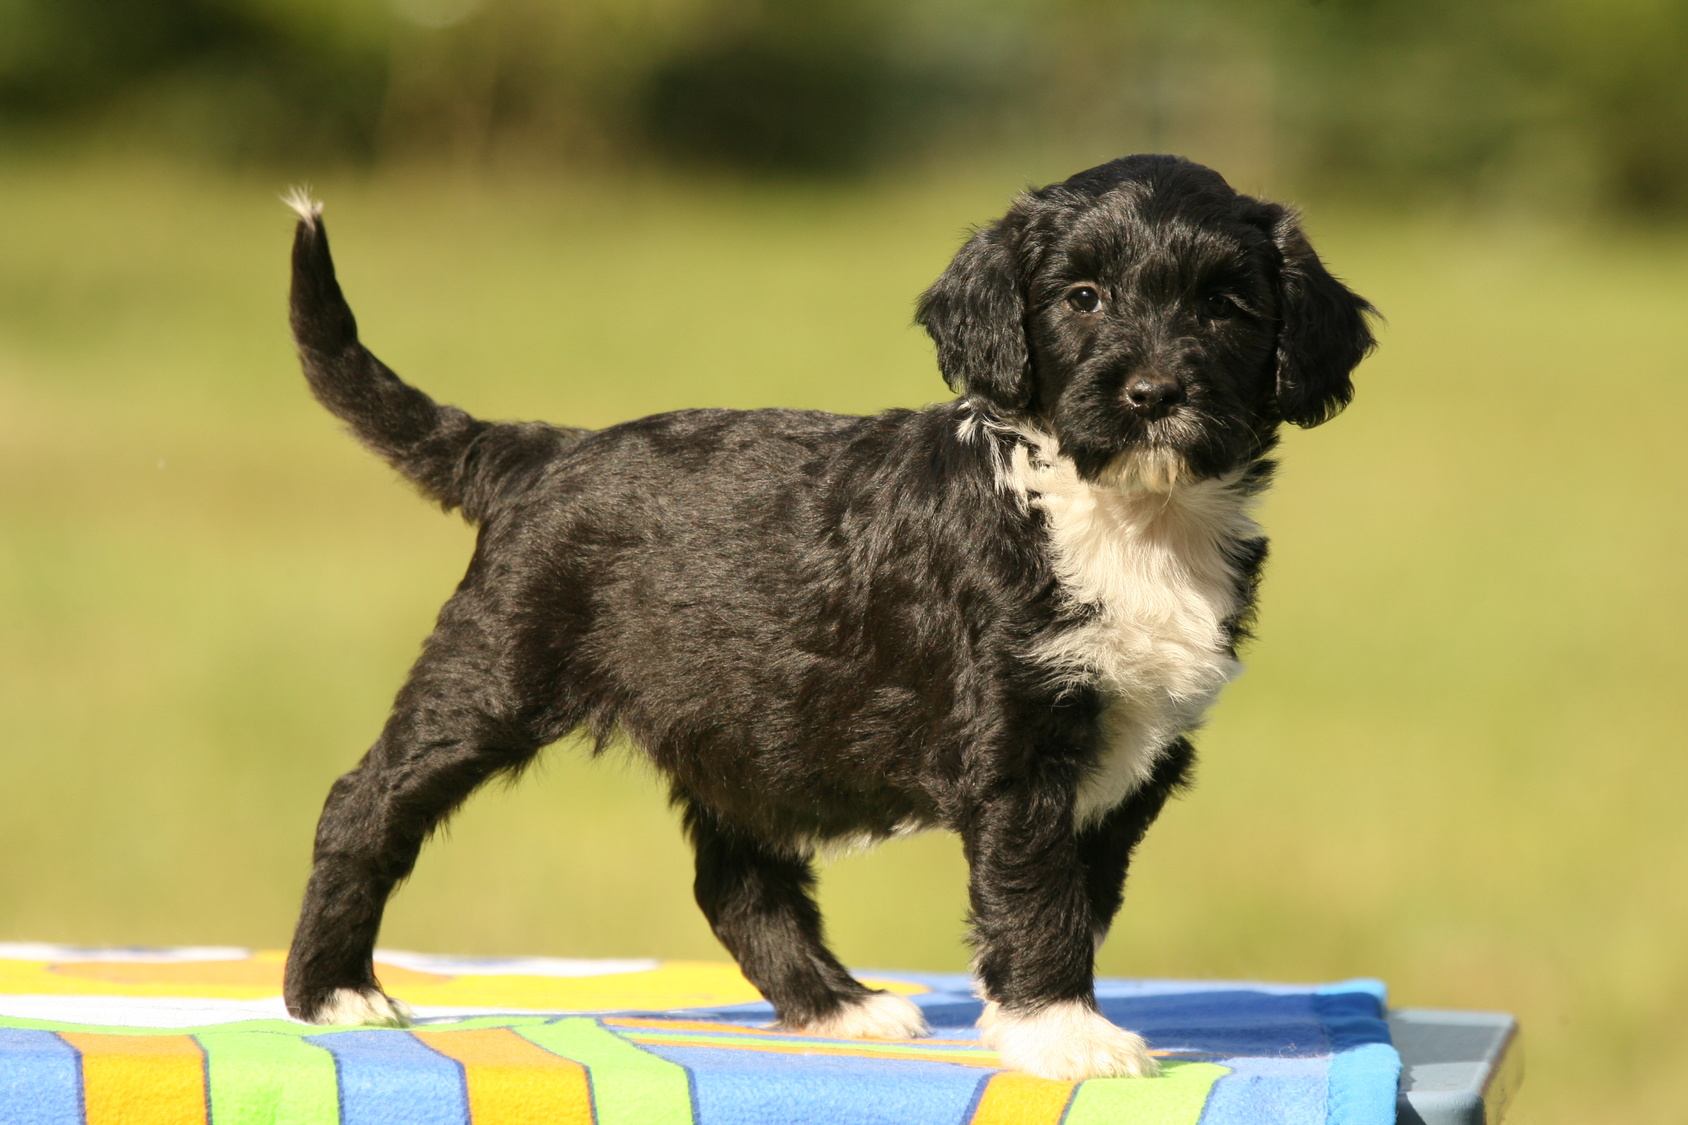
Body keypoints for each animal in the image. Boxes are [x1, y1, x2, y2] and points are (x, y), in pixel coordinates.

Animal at [283, 153, 1377, 1074]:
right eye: (1081, 297)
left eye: (1225, 306)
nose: (1154, 393)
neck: (1118, 512)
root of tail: (540, 450)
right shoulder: (1018, 750)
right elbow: (1037, 894)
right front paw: (1063, 1033)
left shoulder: (1134, 757)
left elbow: (1079, 893)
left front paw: (1031, 1015)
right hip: (492, 674)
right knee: (361, 804)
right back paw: (331, 991)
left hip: (741, 727)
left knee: (735, 883)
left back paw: (834, 1004)